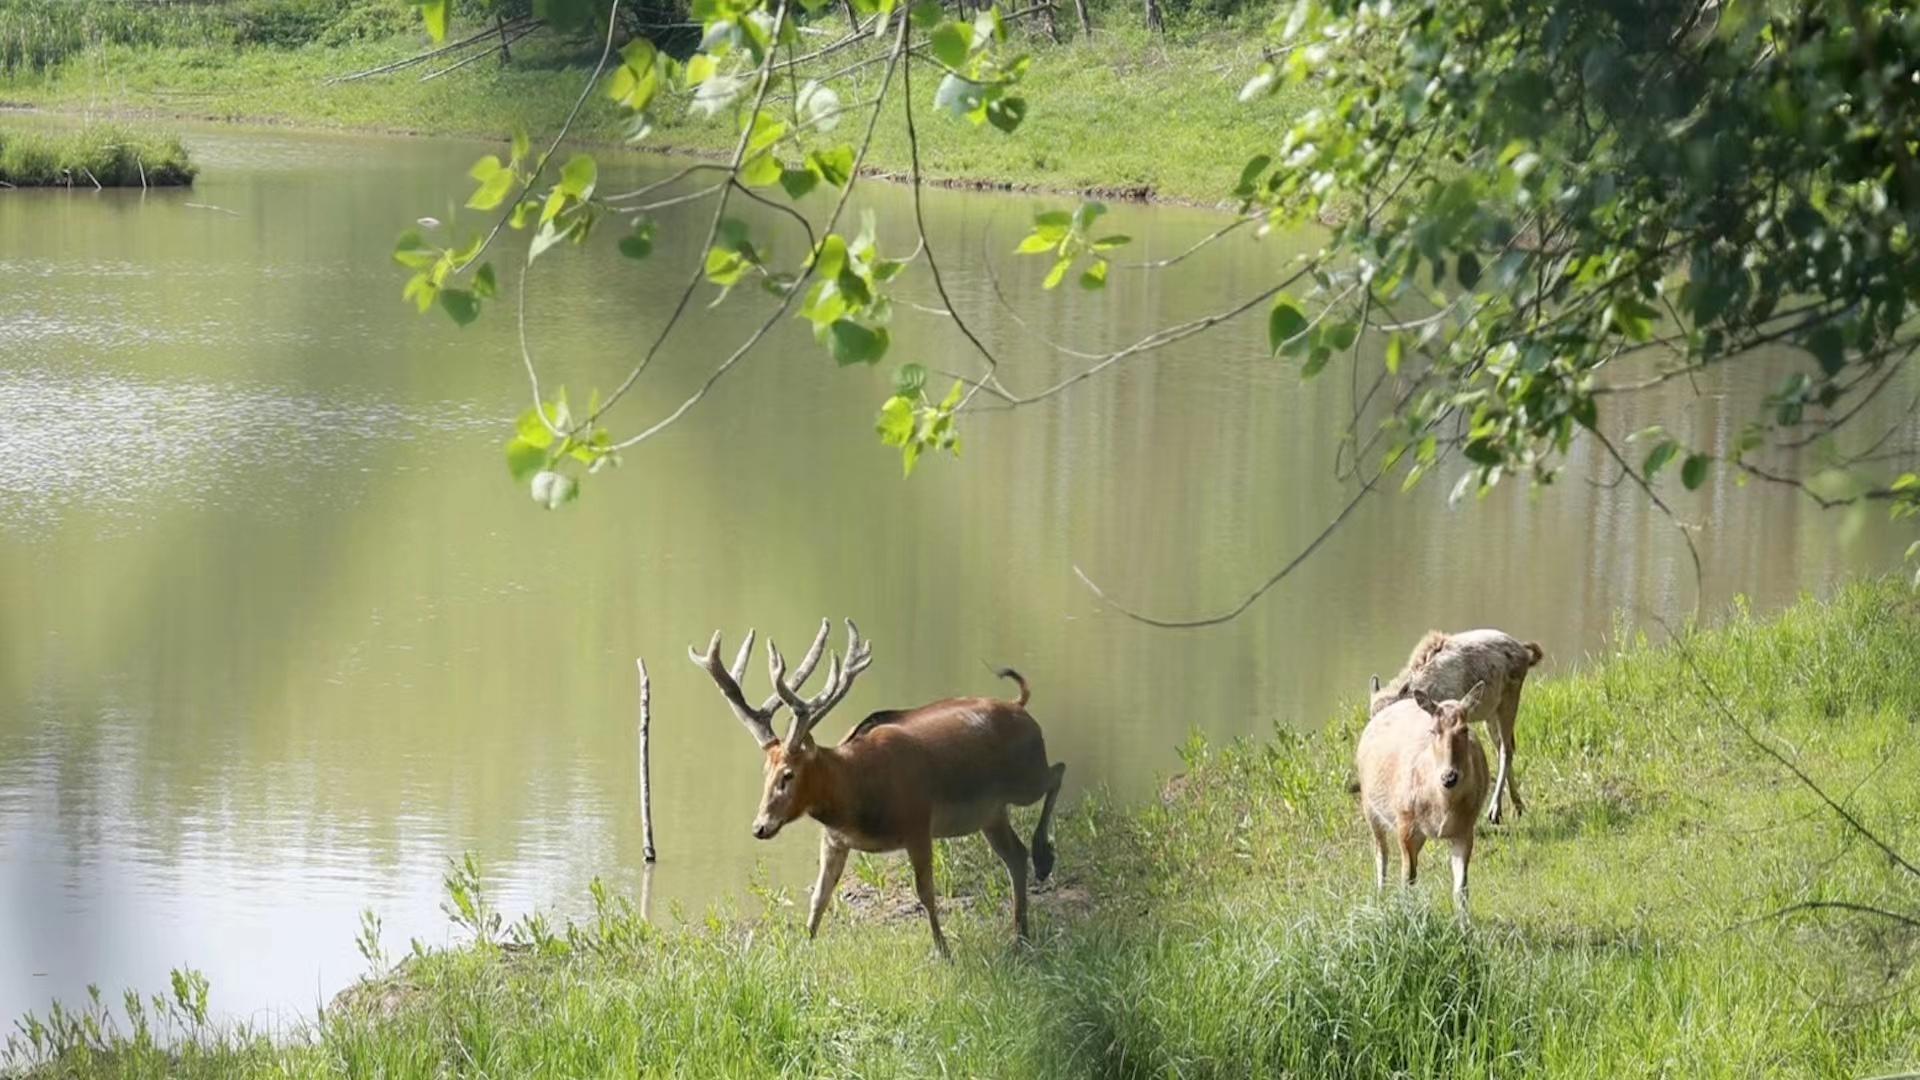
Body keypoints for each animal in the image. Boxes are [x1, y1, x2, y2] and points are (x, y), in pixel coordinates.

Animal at [691, 618, 1067, 953]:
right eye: (765, 772)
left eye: (788, 774)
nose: (760, 827)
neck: (855, 794)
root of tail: (1020, 706)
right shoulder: (834, 839)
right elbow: (819, 897)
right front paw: (803, 949)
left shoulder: (918, 822)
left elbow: (925, 891)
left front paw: (943, 951)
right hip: (991, 812)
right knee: (1015, 854)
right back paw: (1020, 934)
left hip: (1025, 777)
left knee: (1058, 771)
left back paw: (1044, 858)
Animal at [1351, 680, 1482, 907]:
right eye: (1433, 730)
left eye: (1464, 729)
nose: (1449, 777)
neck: (1442, 806)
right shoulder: (1405, 822)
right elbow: (1407, 879)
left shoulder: (1465, 828)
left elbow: (1461, 888)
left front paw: (1464, 918)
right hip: (1369, 806)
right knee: (1381, 851)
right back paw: (1380, 894)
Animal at [1367, 626, 1543, 818]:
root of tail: (1525, 653)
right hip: (1490, 714)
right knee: (1502, 748)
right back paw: (1518, 806)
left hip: (1508, 702)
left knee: (1506, 750)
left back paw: (1495, 810)